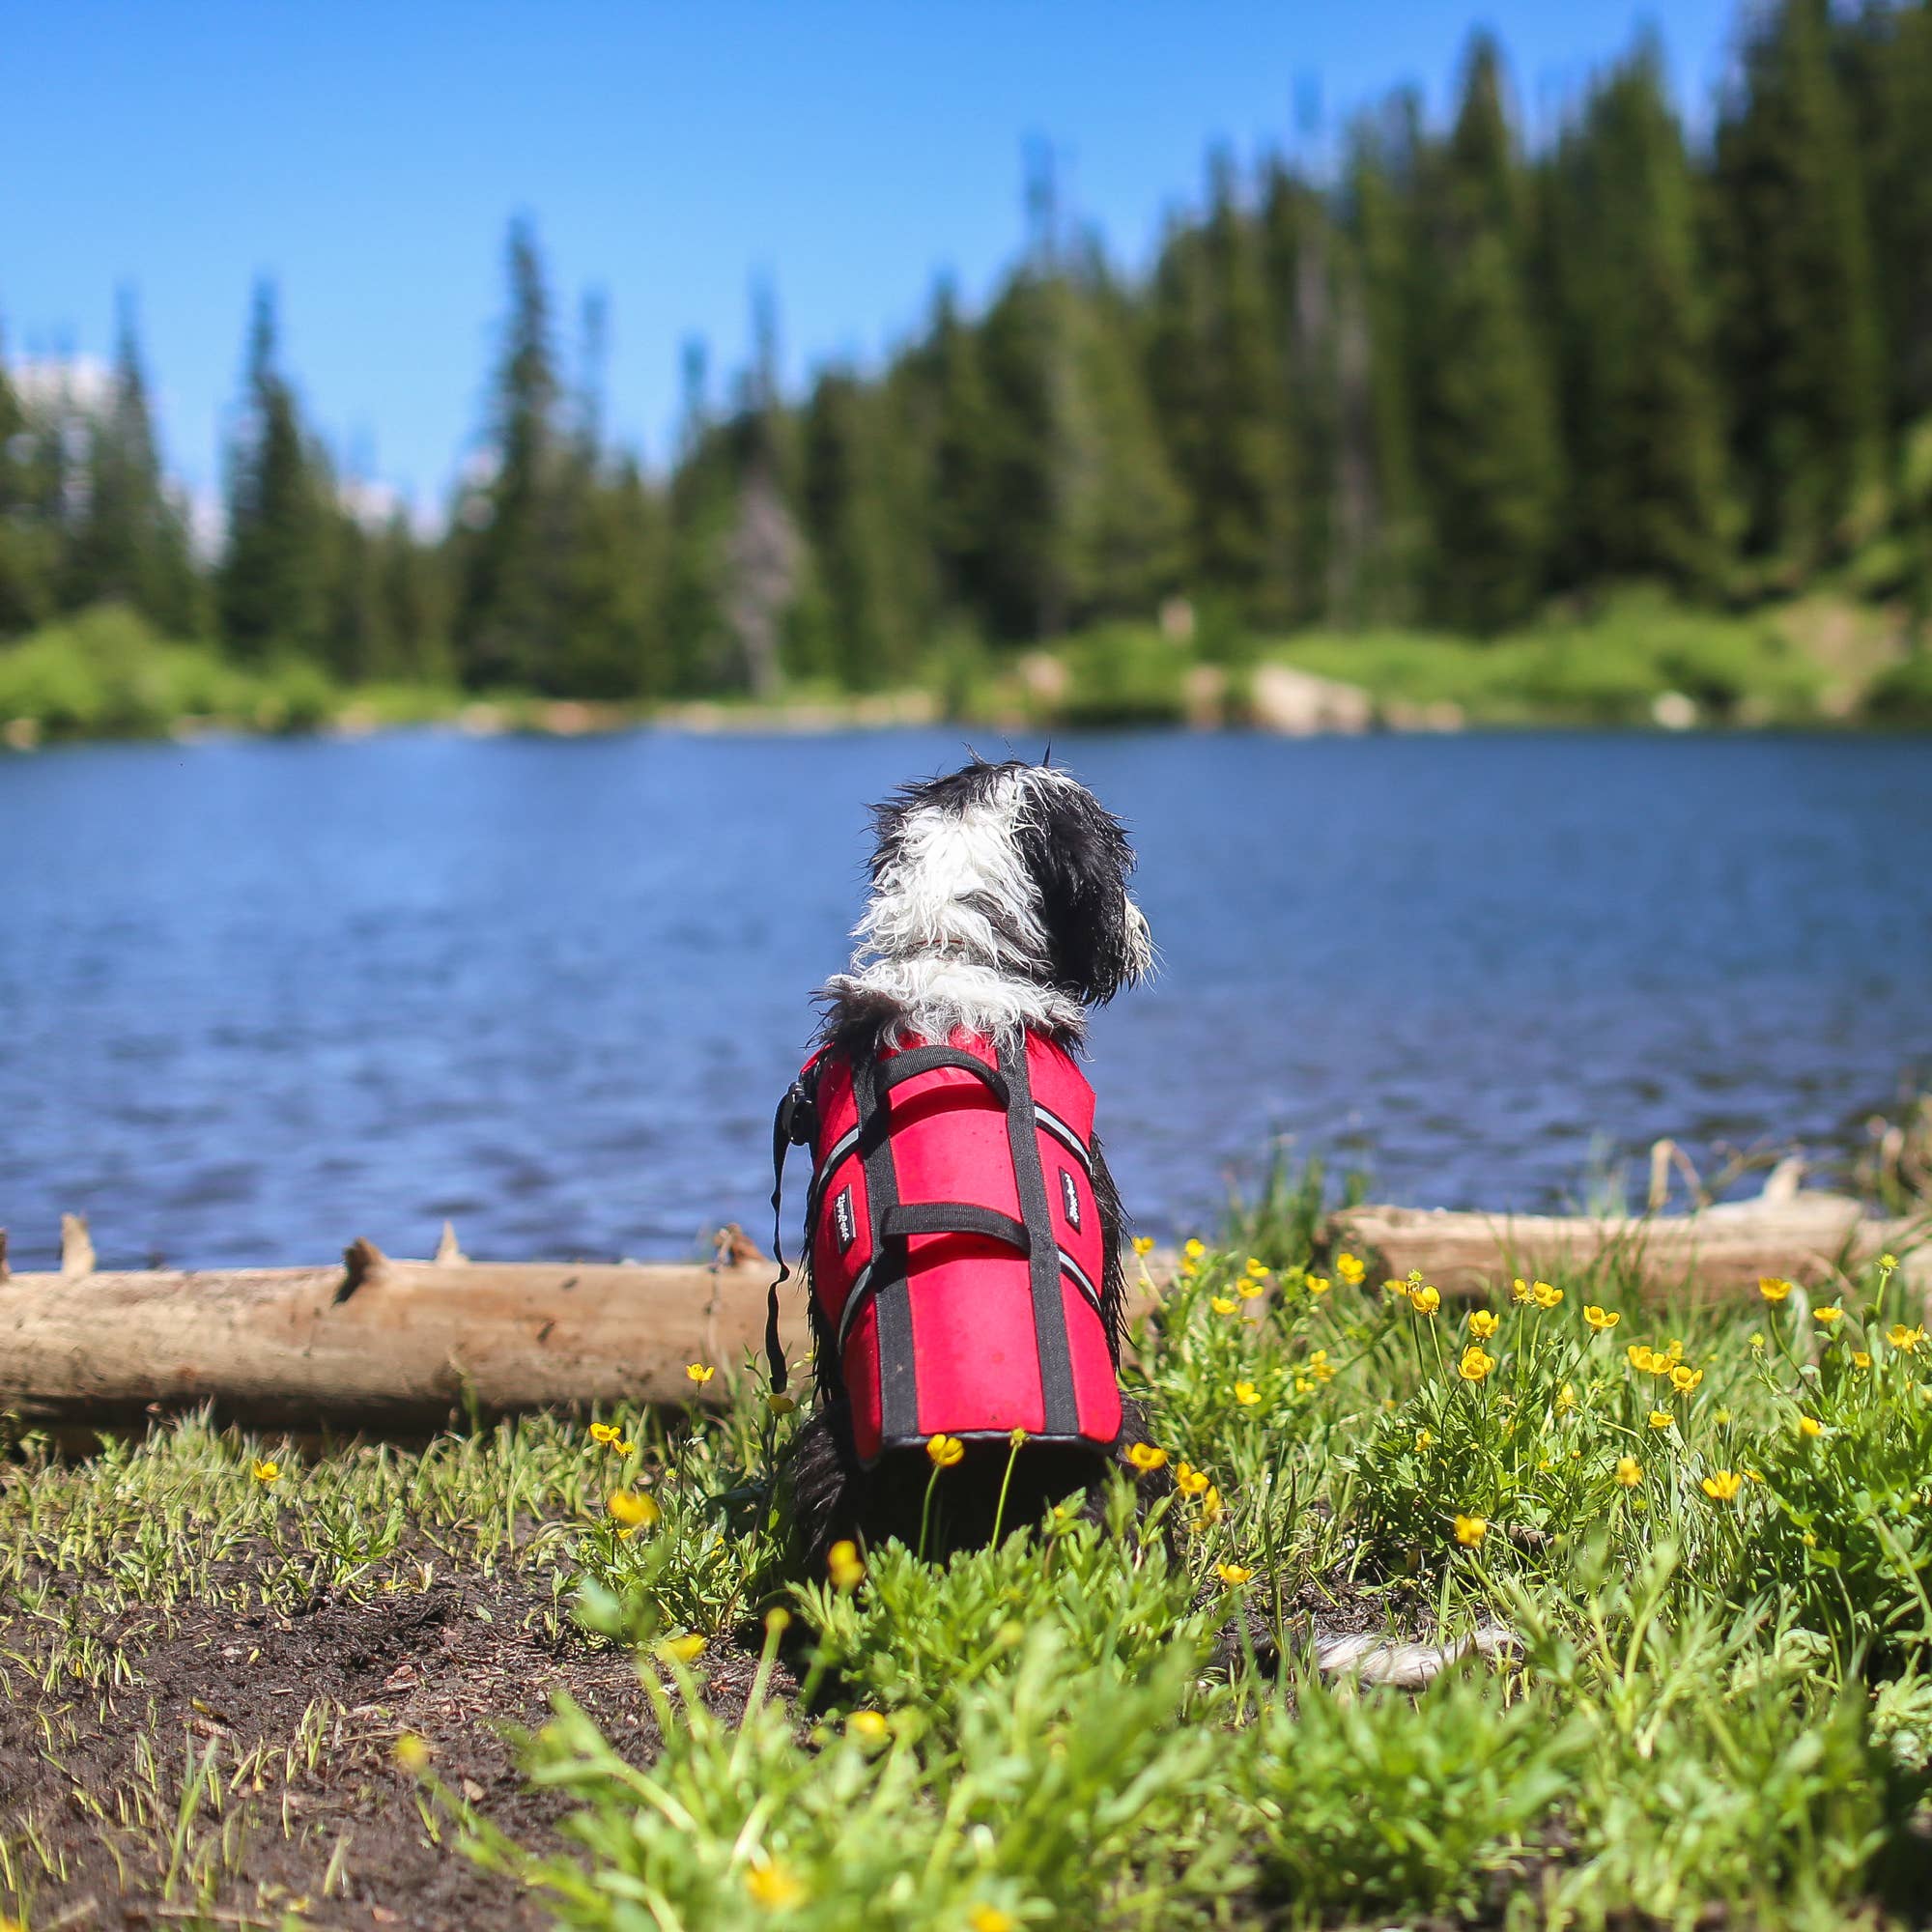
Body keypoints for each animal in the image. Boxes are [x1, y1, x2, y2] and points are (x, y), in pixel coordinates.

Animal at [777, 757, 1151, 1569]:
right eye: (1119, 853)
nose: (1139, 928)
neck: (955, 952)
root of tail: (979, 1449)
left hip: (830, 1451)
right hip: (1126, 1438)